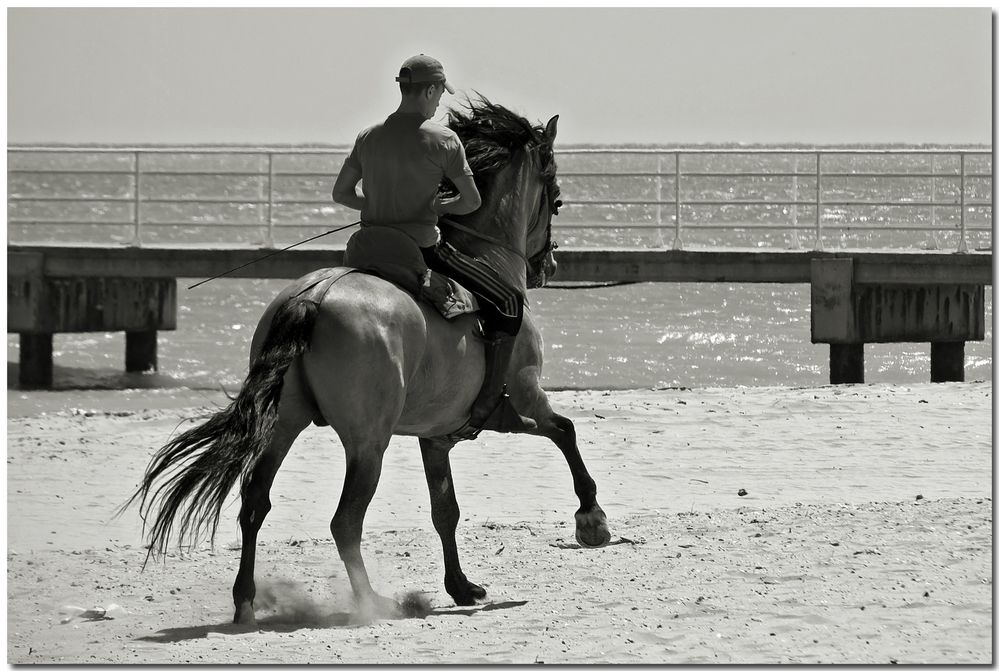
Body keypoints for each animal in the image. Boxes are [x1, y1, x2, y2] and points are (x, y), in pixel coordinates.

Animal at [129, 97, 612, 628]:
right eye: (556, 199)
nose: (550, 264)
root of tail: (314, 297)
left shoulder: (438, 435)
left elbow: (445, 509)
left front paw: (461, 586)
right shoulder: (522, 398)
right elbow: (565, 431)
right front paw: (591, 518)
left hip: (285, 424)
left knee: (255, 503)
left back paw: (246, 602)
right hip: (368, 443)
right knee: (345, 521)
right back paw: (372, 603)